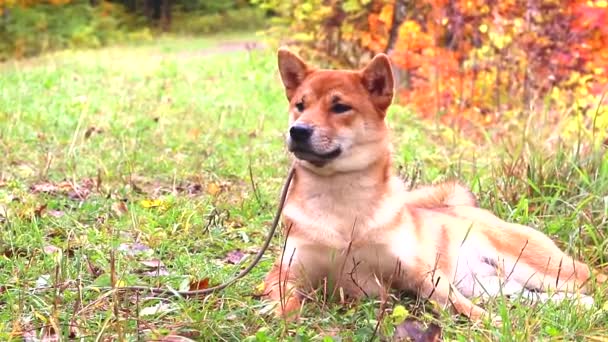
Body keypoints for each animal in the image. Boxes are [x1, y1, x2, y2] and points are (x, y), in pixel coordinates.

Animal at [260, 46, 604, 322]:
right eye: (300, 105)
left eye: (340, 107)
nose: (298, 130)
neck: (342, 208)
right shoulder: (287, 271)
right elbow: (281, 298)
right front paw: (280, 315)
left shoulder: (420, 273)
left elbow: (460, 305)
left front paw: (490, 324)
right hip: (494, 286)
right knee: (542, 296)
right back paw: (581, 306)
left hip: (542, 268)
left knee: (591, 278)